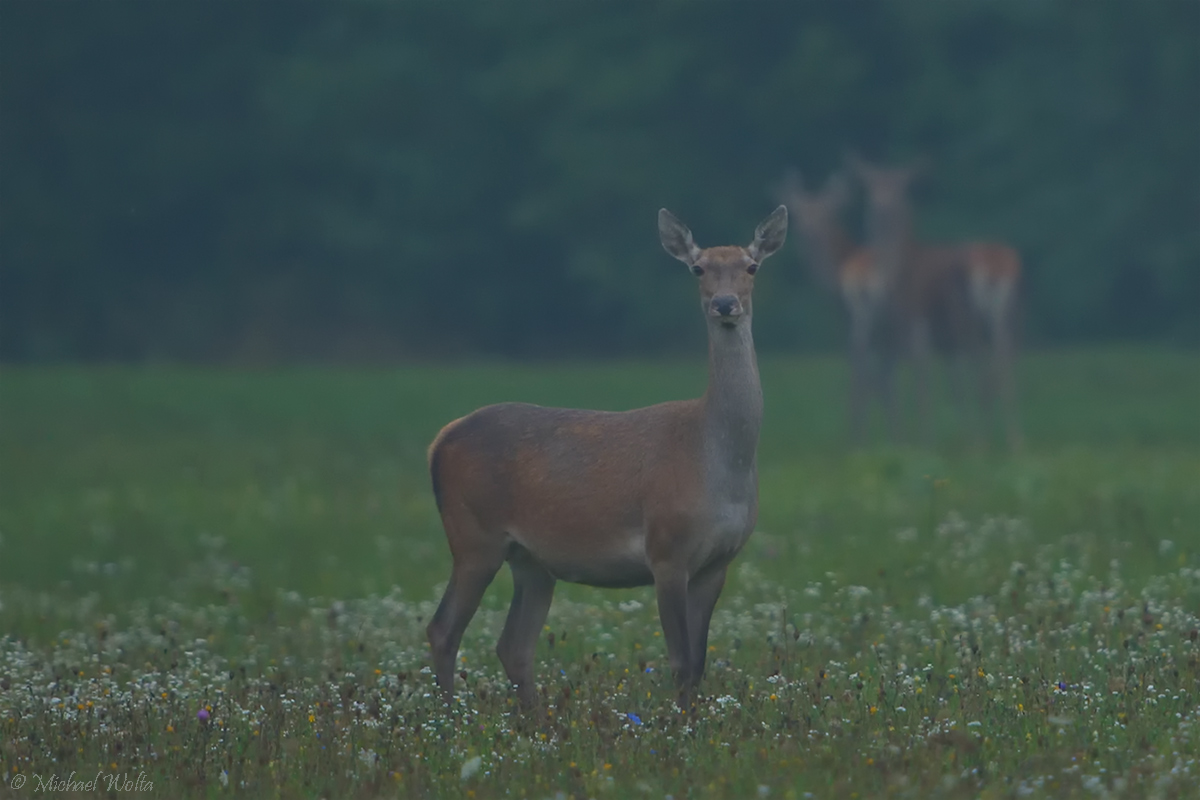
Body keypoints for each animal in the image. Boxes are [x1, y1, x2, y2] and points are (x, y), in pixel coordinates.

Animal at [427, 203, 792, 710]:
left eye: (752, 266)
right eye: (698, 268)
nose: (724, 304)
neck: (717, 462)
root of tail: (440, 440)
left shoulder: (719, 562)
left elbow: (698, 666)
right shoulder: (666, 548)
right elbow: (681, 662)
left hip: (531, 559)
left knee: (513, 645)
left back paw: (532, 720)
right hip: (473, 536)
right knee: (443, 630)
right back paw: (449, 720)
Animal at [844, 153, 1022, 448]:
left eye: (899, 190)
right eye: (871, 189)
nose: (880, 210)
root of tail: (996, 266)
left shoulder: (917, 325)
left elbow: (922, 384)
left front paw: (926, 444)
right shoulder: (944, 342)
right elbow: (955, 389)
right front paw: (960, 439)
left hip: (968, 320)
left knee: (984, 370)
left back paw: (989, 441)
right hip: (1002, 318)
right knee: (1002, 364)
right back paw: (1011, 441)